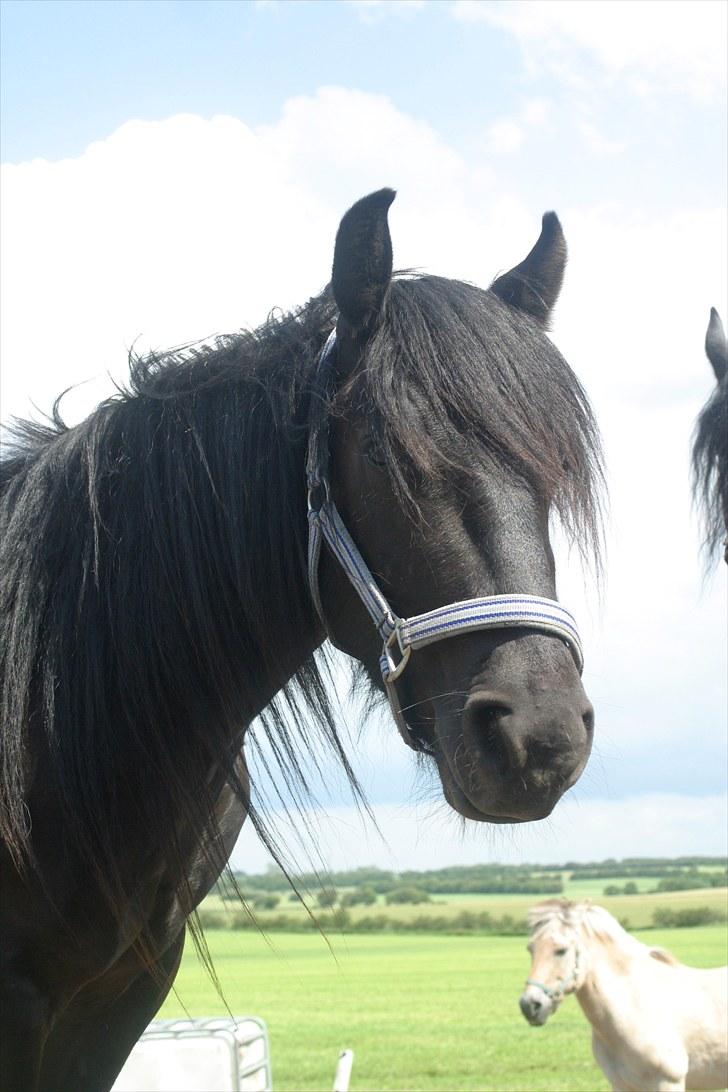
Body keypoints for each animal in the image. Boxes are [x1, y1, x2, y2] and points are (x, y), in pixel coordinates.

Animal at [520, 900, 728, 1091]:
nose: (529, 1005)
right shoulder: (621, 1085)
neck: (634, 1005)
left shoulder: (668, 1083)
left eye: (561, 950)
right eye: (531, 949)